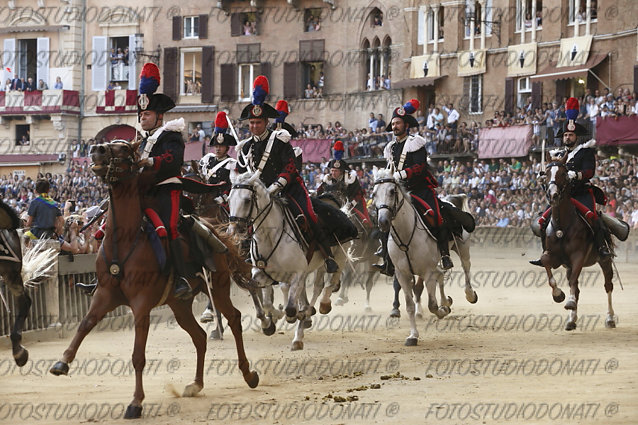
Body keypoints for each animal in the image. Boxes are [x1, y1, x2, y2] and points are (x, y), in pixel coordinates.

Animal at [50, 140, 258, 418]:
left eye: (125, 149)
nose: (97, 149)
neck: (124, 240)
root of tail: (213, 229)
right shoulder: (104, 295)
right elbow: (85, 324)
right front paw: (62, 362)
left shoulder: (141, 305)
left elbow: (138, 355)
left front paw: (136, 402)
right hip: (179, 305)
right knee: (199, 337)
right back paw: (196, 384)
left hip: (219, 287)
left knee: (233, 318)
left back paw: (248, 373)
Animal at [229, 171, 350, 350]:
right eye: (229, 199)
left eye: (247, 200)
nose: (233, 230)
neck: (270, 236)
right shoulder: (261, 273)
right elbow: (266, 302)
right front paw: (269, 322)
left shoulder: (298, 274)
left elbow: (291, 309)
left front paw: (296, 315)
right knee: (314, 288)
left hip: (340, 255)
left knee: (328, 282)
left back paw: (320, 307)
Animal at [370, 169, 480, 344]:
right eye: (373, 193)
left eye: (392, 191)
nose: (383, 221)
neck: (406, 234)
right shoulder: (402, 274)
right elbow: (409, 305)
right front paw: (413, 335)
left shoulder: (427, 272)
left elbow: (432, 305)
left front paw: (443, 310)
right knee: (441, 275)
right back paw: (446, 301)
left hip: (463, 247)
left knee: (466, 268)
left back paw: (469, 295)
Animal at [536, 157, 624, 332]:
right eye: (546, 173)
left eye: (564, 173)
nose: (553, 195)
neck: (562, 226)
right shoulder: (554, 257)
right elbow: (547, 264)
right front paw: (558, 295)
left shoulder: (578, 256)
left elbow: (572, 282)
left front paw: (568, 301)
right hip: (569, 266)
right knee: (576, 287)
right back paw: (571, 320)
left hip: (604, 261)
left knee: (608, 285)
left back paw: (610, 318)